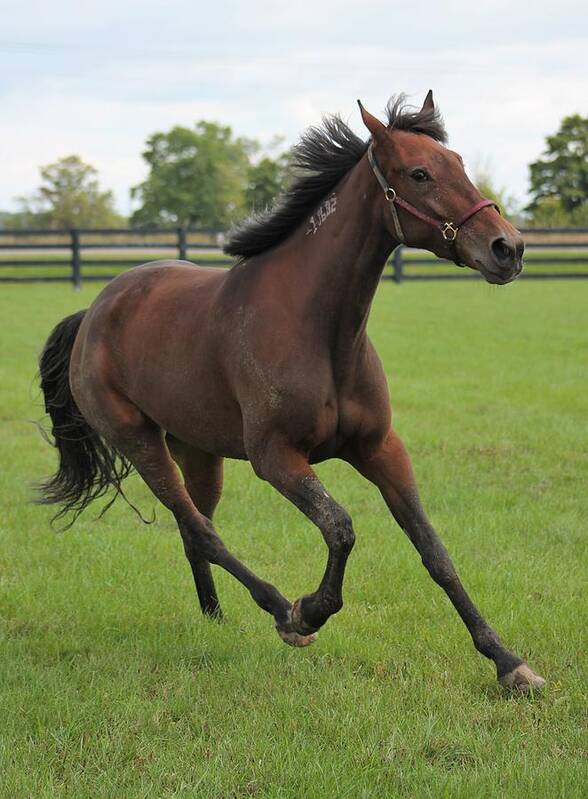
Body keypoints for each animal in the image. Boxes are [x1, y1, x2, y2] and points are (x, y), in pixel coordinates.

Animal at [36, 94, 544, 692]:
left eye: (459, 162)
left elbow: (434, 551)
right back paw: (280, 611)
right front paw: (309, 611)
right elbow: (340, 528)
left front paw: (509, 663)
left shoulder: (380, 449)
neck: (319, 331)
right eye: (419, 173)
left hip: (199, 451)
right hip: (140, 443)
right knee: (202, 531)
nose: (507, 247)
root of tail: (93, 312)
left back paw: (215, 617)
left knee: (195, 529)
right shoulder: (276, 458)